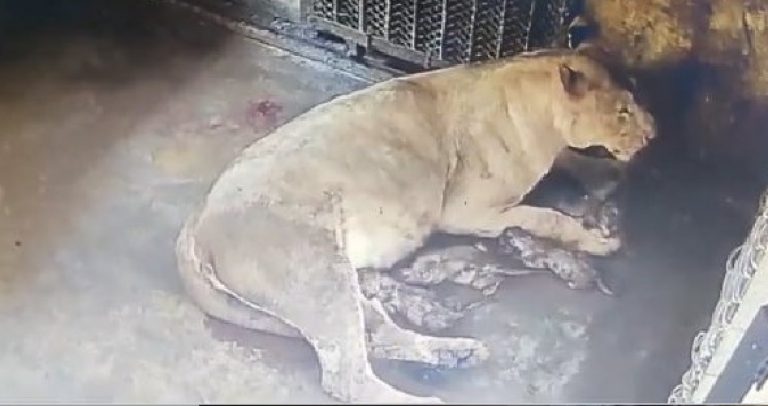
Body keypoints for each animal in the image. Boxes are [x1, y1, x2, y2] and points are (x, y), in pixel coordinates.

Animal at [175, 47, 656, 403]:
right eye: (622, 111)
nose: (654, 133)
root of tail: (194, 228)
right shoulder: (468, 210)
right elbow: (547, 217)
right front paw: (597, 238)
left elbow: (570, 163)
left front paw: (603, 175)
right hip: (317, 272)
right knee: (347, 376)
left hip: (336, 283)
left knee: (375, 335)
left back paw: (457, 354)